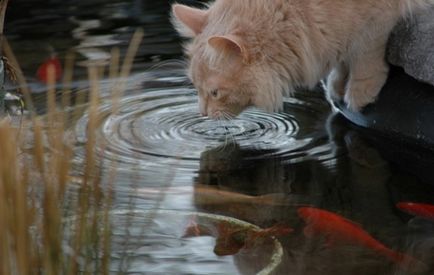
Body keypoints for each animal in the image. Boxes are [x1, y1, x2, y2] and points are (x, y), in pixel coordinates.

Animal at [171, 0, 432, 118]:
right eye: (196, 88)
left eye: (215, 93)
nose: (202, 114)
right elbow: (342, 58)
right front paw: (337, 86)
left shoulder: (377, 20)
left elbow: (365, 57)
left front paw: (359, 94)